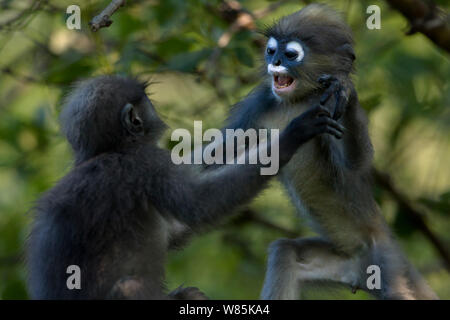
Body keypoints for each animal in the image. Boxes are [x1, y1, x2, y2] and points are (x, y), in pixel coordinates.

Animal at [26, 74, 342, 298]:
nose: (155, 110)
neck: (107, 151)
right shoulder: (147, 163)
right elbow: (198, 205)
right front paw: (290, 136)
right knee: (131, 287)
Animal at [213, 4, 438, 300]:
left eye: (291, 54)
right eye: (271, 50)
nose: (274, 62)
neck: (296, 102)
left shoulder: (327, 107)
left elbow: (355, 164)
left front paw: (346, 90)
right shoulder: (258, 104)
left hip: (384, 258)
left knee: (396, 292)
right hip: (342, 262)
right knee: (285, 252)